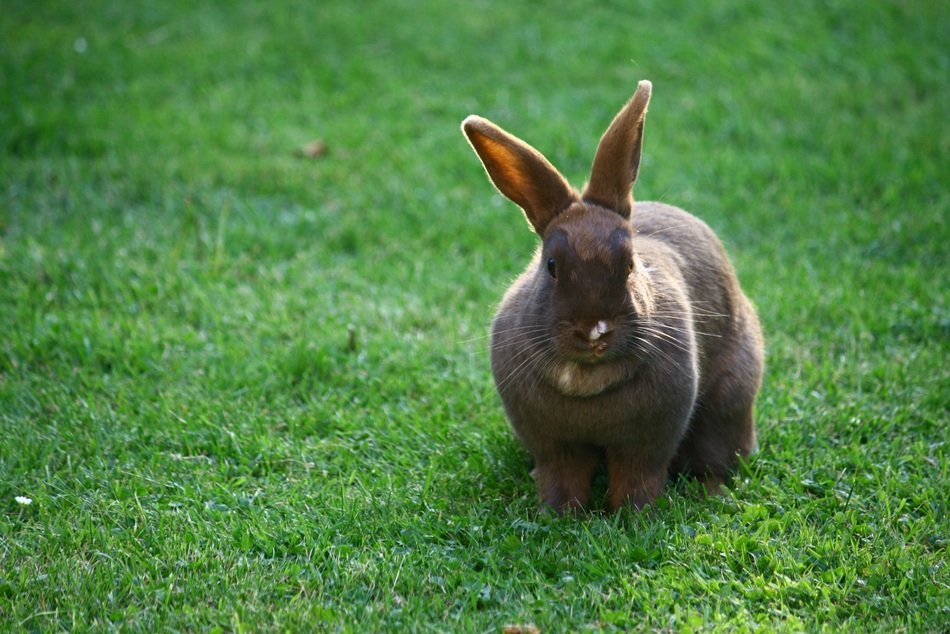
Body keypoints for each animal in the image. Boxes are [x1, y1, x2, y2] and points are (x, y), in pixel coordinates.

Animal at [461, 80, 764, 513]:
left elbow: (638, 477)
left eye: (630, 264)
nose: (594, 331)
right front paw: (558, 515)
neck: (587, 376)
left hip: (729, 403)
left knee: (715, 457)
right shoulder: (554, 446)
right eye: (551, 266)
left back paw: (713, 494)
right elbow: (562, 476)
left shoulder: (647, 442)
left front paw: (634, 516)